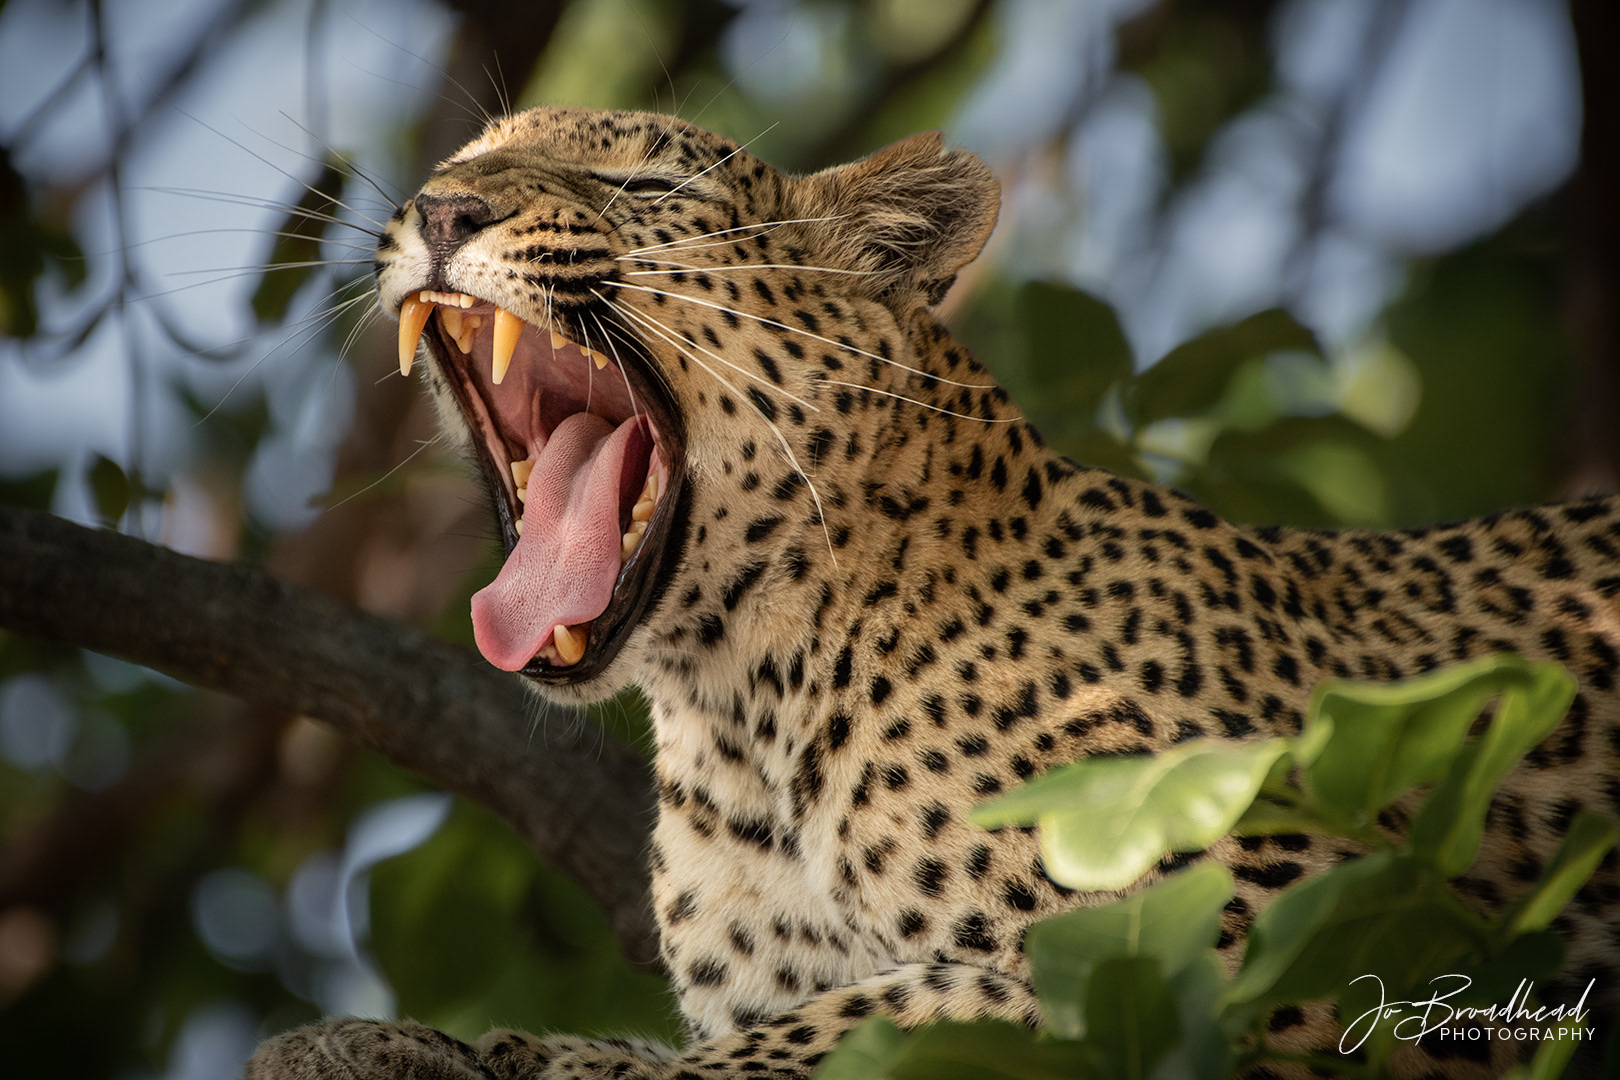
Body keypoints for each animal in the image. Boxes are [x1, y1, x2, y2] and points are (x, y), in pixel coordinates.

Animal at [249, 106, 1620, 1080]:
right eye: (461, 160)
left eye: (647, 192)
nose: (442, 205)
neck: (742, 711)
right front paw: (405, 1042)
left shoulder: (1288, 912)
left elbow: (845, 1033)